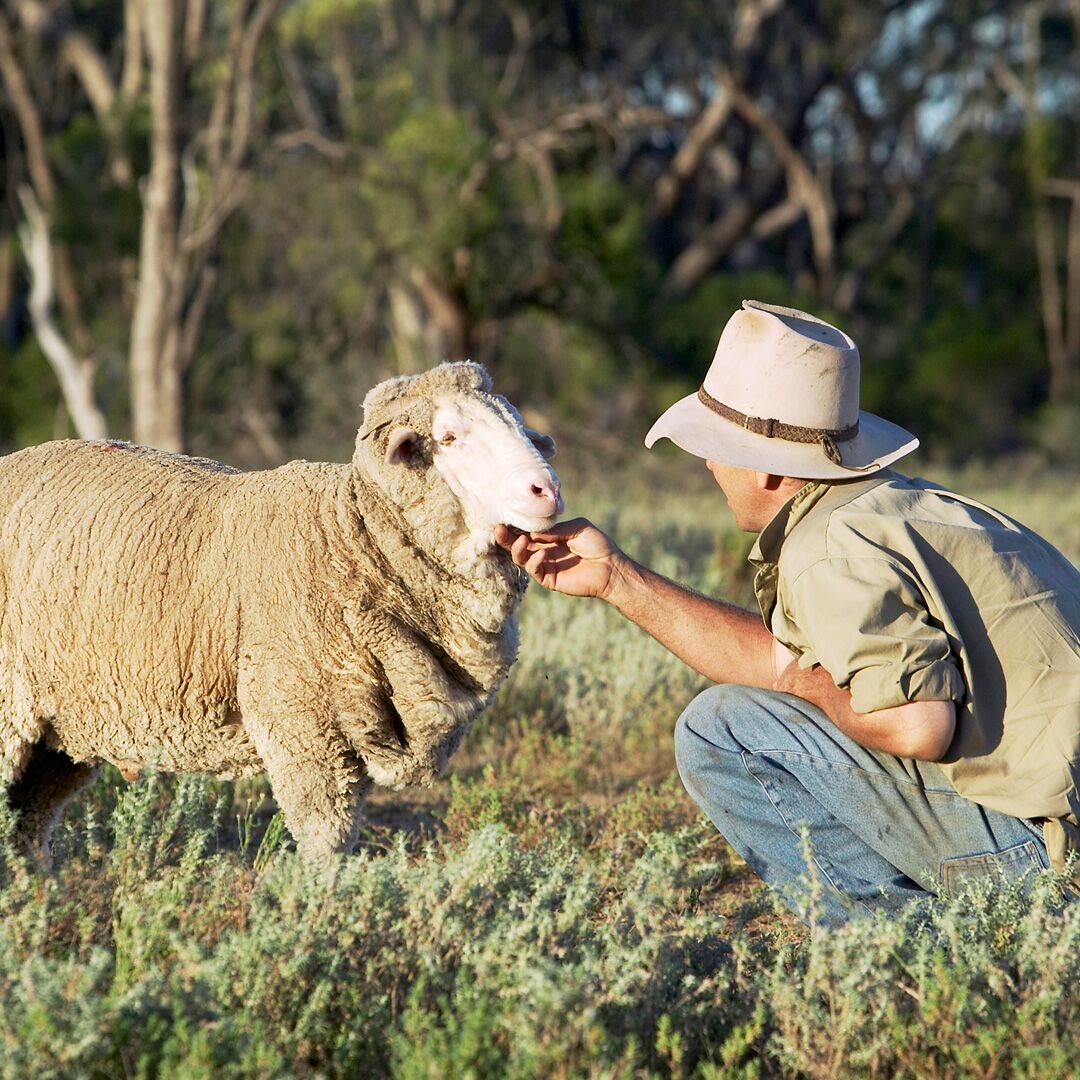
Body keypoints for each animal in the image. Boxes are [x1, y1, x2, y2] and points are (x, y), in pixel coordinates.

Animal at [4, 360, 565, 859]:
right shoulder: (304, 731)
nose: (548, 490)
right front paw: (318, 910)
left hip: (60, 732)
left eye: (518, 425)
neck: (352, 538)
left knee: (27, 825)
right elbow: (325, 846)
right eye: (448, 438)